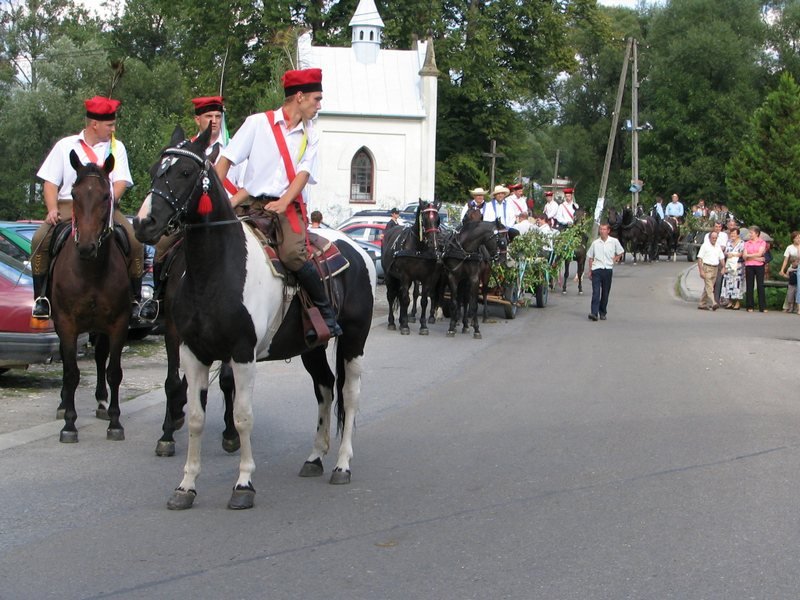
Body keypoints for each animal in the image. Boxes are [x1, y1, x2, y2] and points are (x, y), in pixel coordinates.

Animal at [50, 151, 131, 443]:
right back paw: (64, 404)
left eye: (106, 196)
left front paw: (116, 423)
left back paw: (102, 403)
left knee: (99, 357)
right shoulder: (66, 323)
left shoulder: (119, 324)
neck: (91, 271)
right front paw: (69, 424)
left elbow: (114, 371)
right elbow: (72, 372)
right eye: (74, 194)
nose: (86, 247)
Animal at [134, 126, 375, 510]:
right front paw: (186, 486)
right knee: (324, 388)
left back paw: (342, 464)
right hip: (311, 347)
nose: (144, 222)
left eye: (184, 172)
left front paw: (244, 484)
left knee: (349, 395)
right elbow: (197, 417)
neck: (216, 270)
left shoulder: (242, 353)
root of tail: (357, 251)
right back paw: (314, 457)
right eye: (156, 169)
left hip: (354, 340)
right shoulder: (191, 351)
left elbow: (243, 415)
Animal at [381, 199, 442, 335]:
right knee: (391, 296)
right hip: (390, 277)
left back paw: (401, 320)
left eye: (438, 219)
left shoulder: (426, 278)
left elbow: (424, 301)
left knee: (400, 294)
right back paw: (392, 322)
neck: (418, 248)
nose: (434, 242)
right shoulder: (406, 277)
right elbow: (406, 299)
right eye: (424, 219)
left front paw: (423, 325)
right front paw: (405, 325)